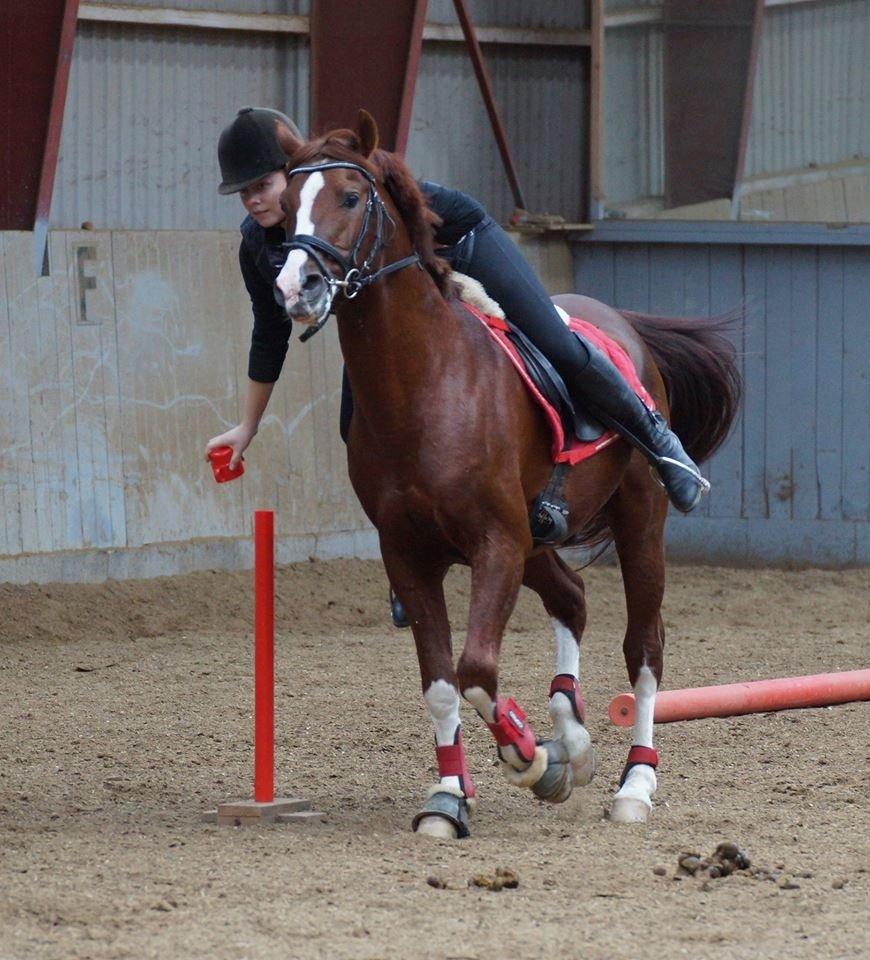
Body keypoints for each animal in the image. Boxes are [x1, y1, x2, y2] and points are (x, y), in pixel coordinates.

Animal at [272, 109, 744, 836]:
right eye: (286, 204)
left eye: (350, 198)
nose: (297, 287)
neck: (423, 383)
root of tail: (621, 323)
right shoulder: (412, 553)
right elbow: (443, 684)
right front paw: (451, 797)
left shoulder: (496, 542)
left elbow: (475, 669)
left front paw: (532, 759)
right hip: (538, 538)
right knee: (572, 599)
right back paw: (574, 738)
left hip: (638, 521)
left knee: (645, 647)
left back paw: (633, 784)